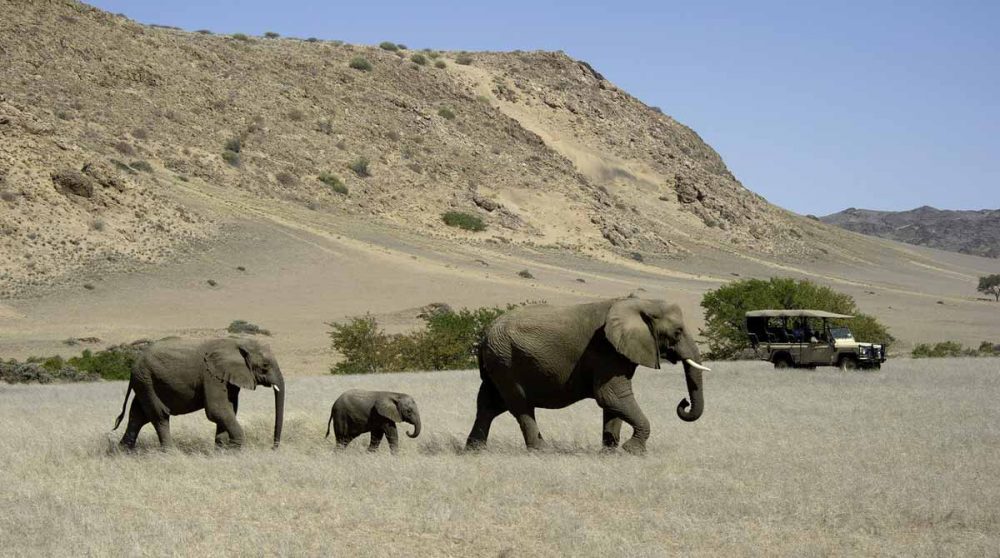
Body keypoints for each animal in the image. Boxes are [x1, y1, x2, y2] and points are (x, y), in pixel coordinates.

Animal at [112, 337, 285, 450]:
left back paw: (123, 451)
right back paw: (170, 453)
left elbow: (228, 409)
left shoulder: (226, 377)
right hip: (146, 380)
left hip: (143, 382)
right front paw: (236, 448)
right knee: (159, 415)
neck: (236, 343)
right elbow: (217, 410)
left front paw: (222, 449)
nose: (273, 448)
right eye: (265, 366)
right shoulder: (211, 375)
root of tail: (135, 363)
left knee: (138, 416)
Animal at [465, 297, 710, 454]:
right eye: (678, 332)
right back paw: (541, 451)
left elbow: (613, 404)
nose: (684, 402)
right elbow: (611, 396)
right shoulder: (607, 351)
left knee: (489, 405)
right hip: (506, 361)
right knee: (520, 405)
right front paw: (632, 451)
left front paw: (610, 452)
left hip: (498, 361)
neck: (639, 303)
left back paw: (474, 451)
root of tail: (486, 332)